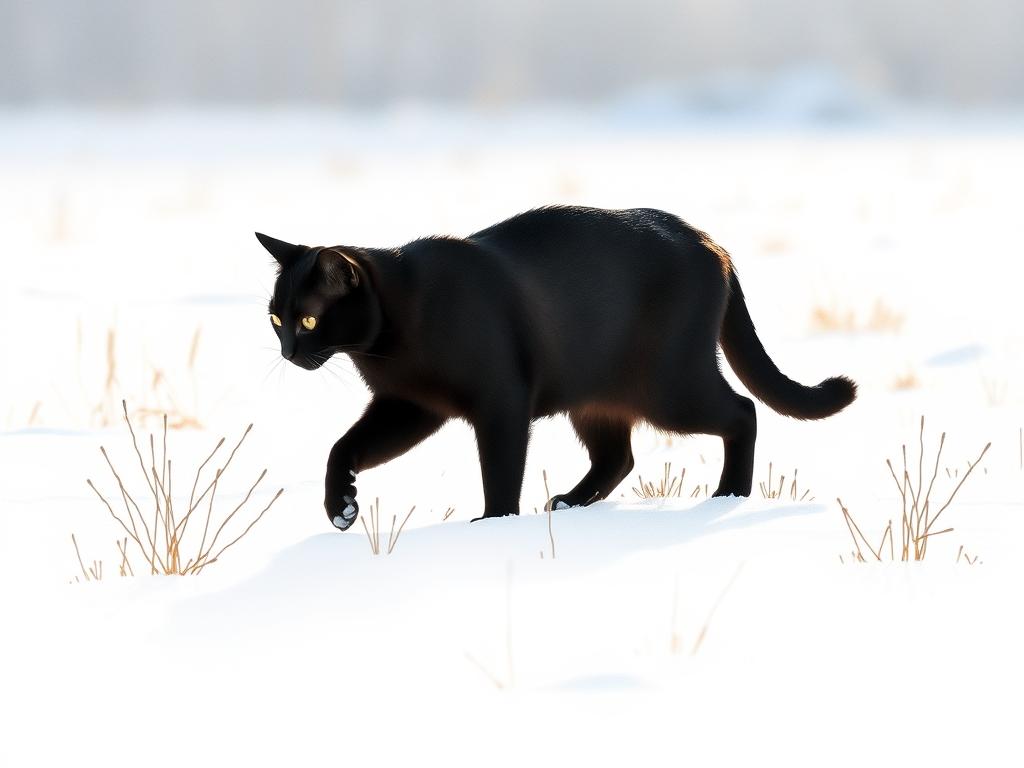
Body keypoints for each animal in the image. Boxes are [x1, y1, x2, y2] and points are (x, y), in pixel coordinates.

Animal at [258, 204, 856, 528]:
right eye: (275, 318)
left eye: (308, 320)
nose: (288, 350)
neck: (392, 340)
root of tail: (712, 243)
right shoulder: (411, 406)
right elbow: (344, 446)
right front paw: (342, 504)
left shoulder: (500, 402)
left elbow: (500, 470)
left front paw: (492, 524)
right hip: (596, 397)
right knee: (618, 457)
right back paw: (568, 502)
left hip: (669, 387)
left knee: (743, 410)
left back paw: (730, 494)